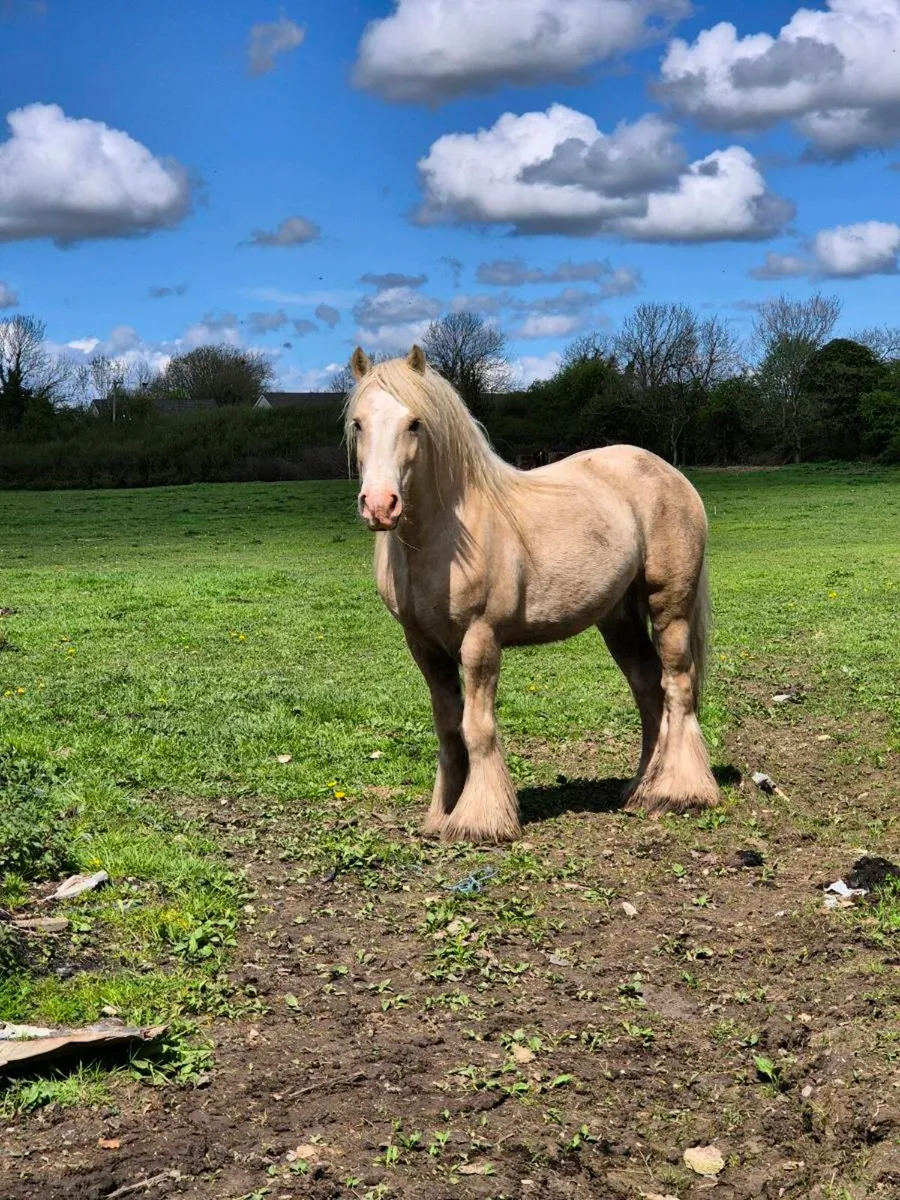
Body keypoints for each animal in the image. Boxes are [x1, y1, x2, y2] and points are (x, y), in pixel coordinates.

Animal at [345, 345, 721, 844]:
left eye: (415, 423)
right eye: (358, 423)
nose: (380, 505)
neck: (445, 536)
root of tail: (671, 474)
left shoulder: (480, 640)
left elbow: (477, 727)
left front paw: (480, 819)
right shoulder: (424, 646)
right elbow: (448, 727)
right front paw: (443, 814)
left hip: (669, 607)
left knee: (677, 686)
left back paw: (679, 792)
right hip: (618, 619)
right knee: (647, 689)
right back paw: (641, 788)